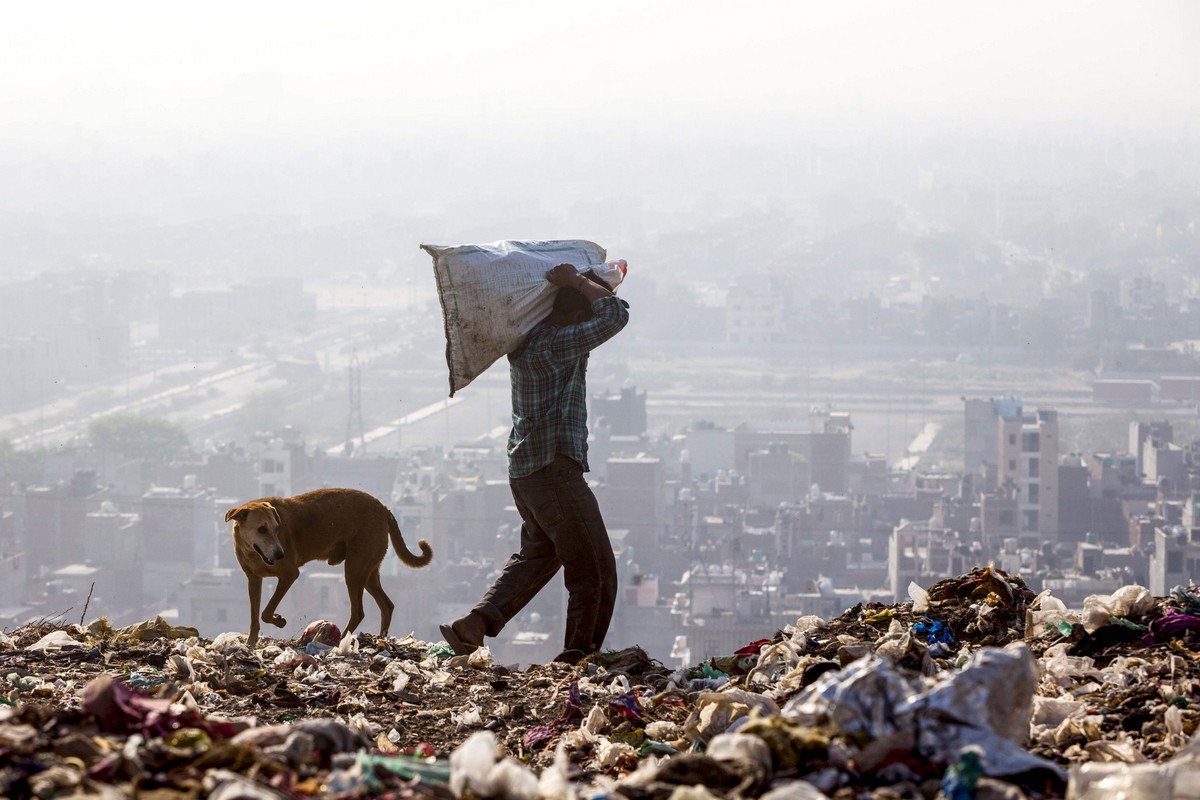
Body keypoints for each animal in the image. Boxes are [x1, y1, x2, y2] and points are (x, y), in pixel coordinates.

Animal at [223, 489, 434, 652]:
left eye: (276, 528)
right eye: (261, 529)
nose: (280, 554)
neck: (252, 551)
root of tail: (383, 509)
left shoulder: (289, 574)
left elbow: (266, 612)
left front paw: (279, 620)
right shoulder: (253, 580)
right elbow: (254, 616)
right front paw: (250, 643)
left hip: (355, 570)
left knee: (359, 612)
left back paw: (341, 640)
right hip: (368, 571)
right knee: (387, 605)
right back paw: (381, 640)